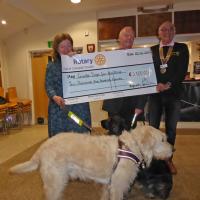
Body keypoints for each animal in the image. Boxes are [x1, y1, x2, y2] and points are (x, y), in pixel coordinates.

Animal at [9, 126, 172, 199]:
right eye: (163, 139)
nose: (173, 149)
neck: (132, 147)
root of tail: (43, 146)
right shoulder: (118, 186)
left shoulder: (109, 185)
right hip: (55, 183)